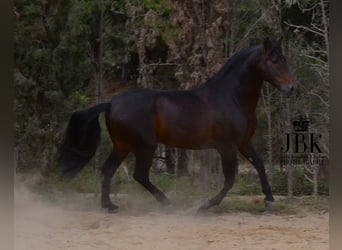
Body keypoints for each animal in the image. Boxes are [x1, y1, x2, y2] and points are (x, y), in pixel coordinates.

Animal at [58, 37, 294, 212]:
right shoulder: (227, 147)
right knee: (140, 175)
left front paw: (269, 199)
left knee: (108, 170)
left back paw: (109, 206)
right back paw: (165, 202)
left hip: (122, 145)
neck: (231, 97)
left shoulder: (243, 142)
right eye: (274, 60)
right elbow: (230, 179)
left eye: (284, 58)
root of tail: (111, 103)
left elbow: (259, 164)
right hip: (145, 146)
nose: (291, 88)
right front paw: (205, 205)